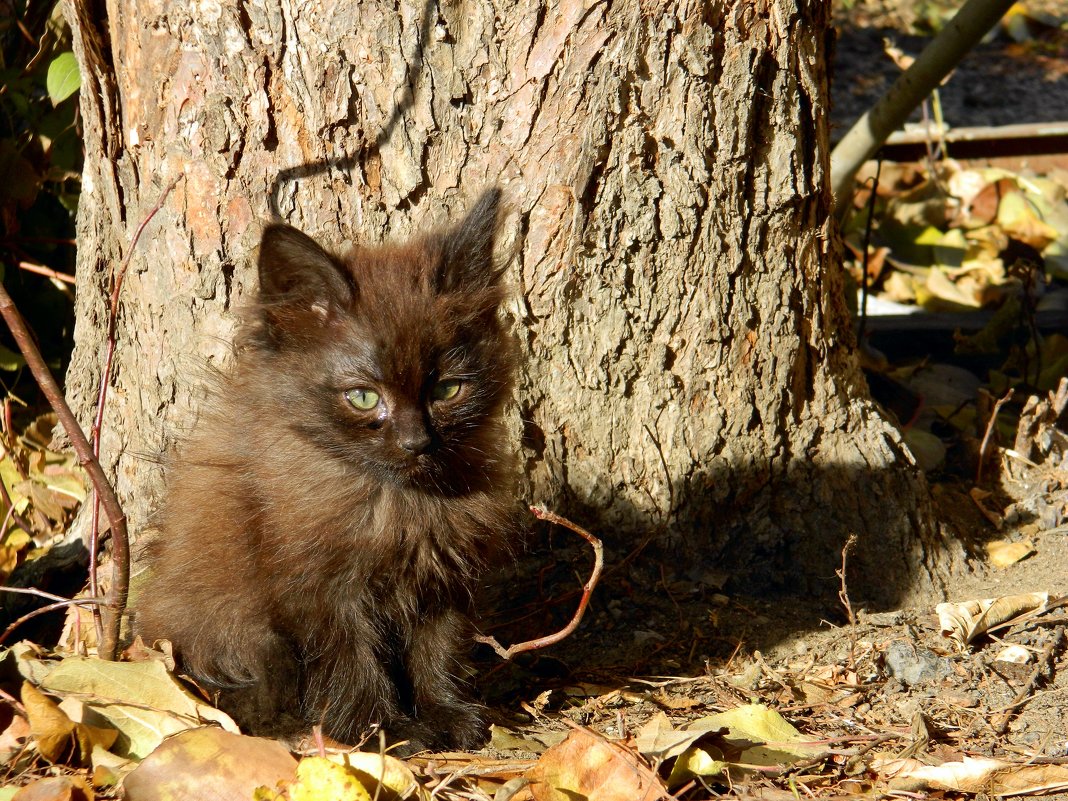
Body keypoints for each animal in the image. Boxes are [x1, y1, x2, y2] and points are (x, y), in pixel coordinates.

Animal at [135, 190, 519, 751]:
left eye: (448, 389)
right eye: (363, 397)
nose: (416, 442)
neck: (393, 503)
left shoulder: (442, 576)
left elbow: (438, 650)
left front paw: (447, 714)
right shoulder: (320, 590)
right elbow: (349, 661)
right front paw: (381, 730)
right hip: (237, 631)